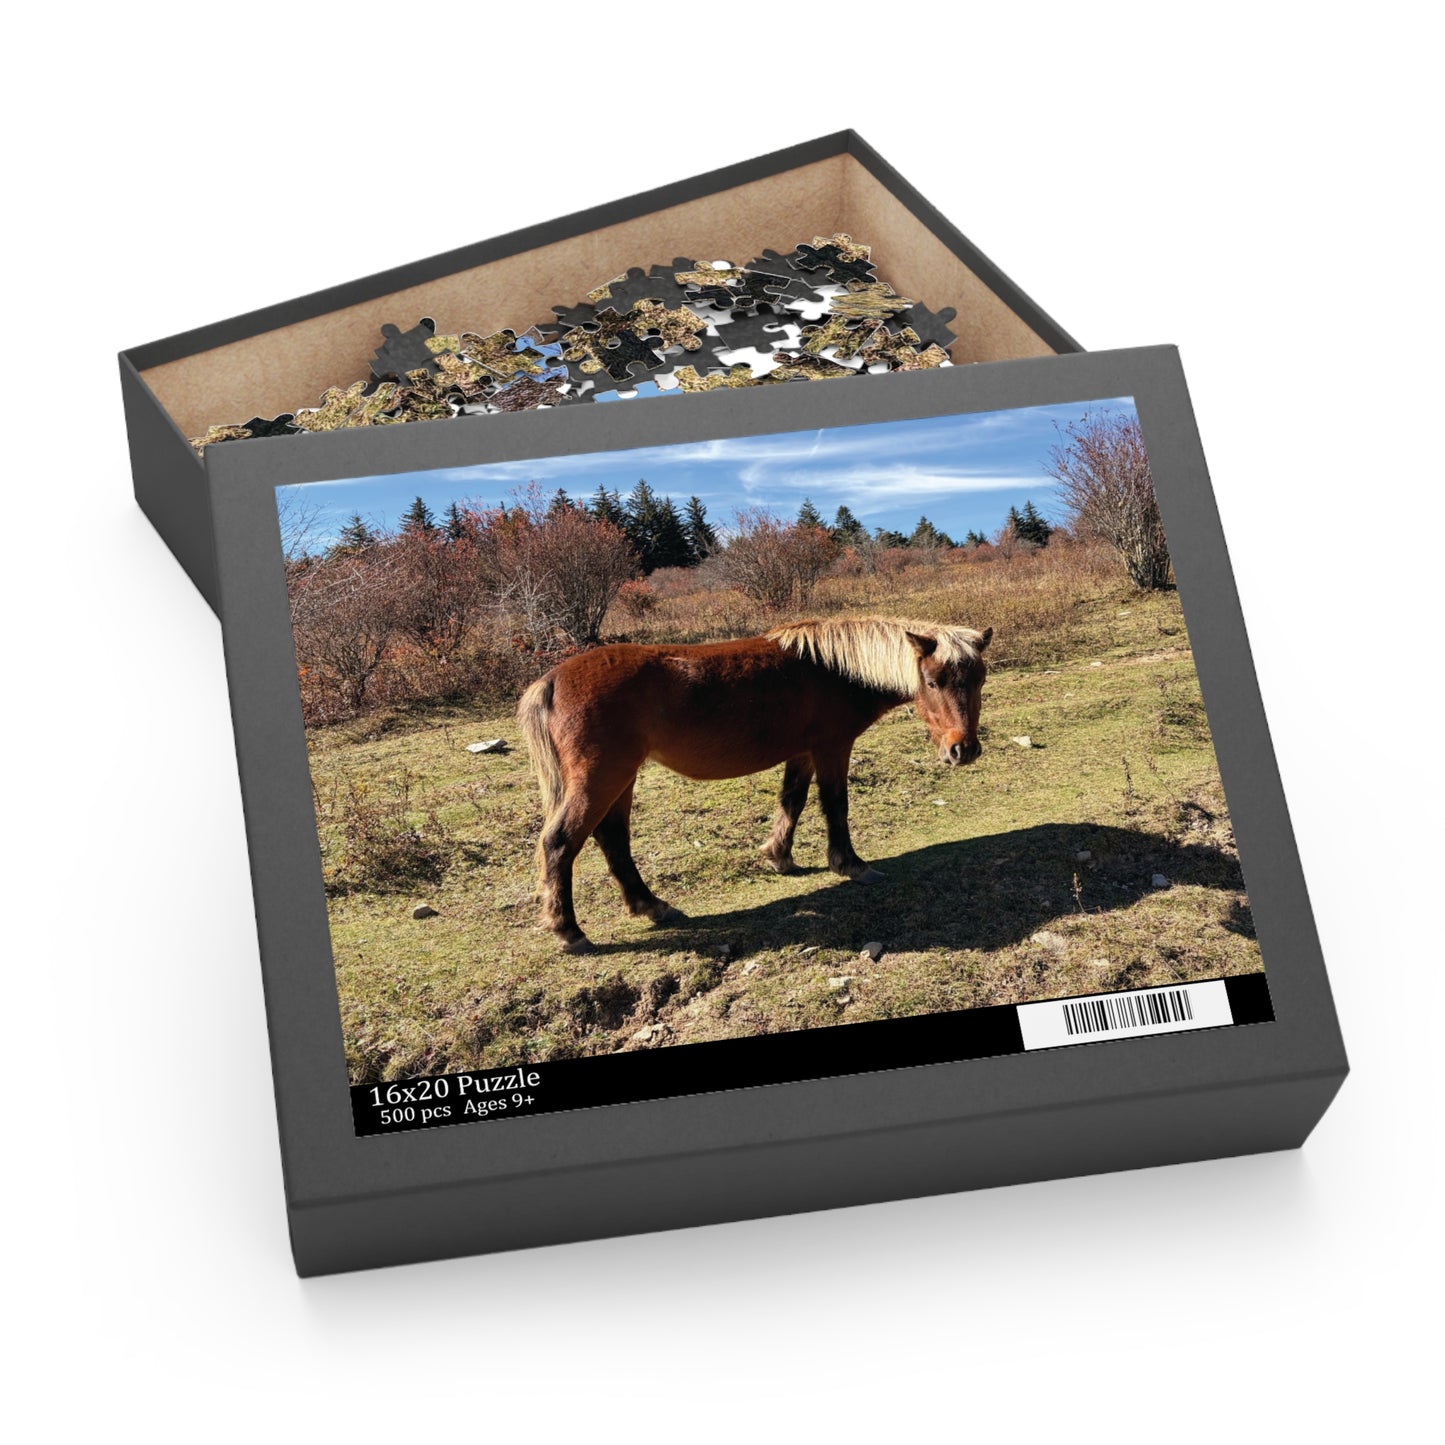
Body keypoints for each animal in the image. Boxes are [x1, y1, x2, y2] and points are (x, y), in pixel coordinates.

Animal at [517, 616, 993, 953]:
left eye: (980, 679)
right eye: (932, 682)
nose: (963, 750)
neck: (833, 670)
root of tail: (552, 680)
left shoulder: (802, 753)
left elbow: (792, 801)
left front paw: (779, 856)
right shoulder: (831, 748)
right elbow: (835, 805)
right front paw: (851, 865)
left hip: (621, 778)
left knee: (613, 839)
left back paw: (651, 906)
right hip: (603, 777)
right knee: (561, 843)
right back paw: (570, 931)